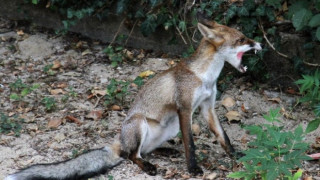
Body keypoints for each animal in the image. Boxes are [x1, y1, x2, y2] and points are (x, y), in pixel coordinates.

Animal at [5, 13, 262, 180]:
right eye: (241, 40)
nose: (259, 43)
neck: (204, 77)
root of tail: (119, 141)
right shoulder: (185, 108)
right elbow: (191, 144)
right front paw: (193, 169)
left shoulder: (207, 107)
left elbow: (223, 137)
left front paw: (238, 156)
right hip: (139, 123)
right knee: (131, 155)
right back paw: (147, 166)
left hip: (170, 128)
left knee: (143, 150)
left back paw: (165, 151)